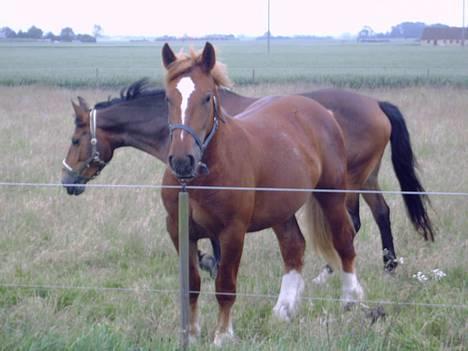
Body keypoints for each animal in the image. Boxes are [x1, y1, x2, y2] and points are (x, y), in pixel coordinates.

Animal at [162, 42, 366, 346]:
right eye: (168, 98)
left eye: (207, 97)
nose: (181, 160)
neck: (200, 180)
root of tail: (324, 113)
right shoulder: (179, 231)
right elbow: (191, 284)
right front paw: (192, 334)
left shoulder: (232, 232)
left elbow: (225, 285)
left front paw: (223, 335)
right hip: (281, 211)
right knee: (294, 248)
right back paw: (284, 310)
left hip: (332, 195)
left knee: (344, 240)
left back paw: (351, 298)